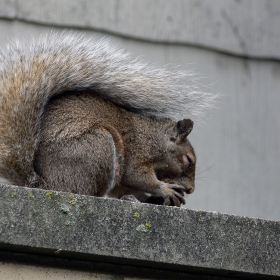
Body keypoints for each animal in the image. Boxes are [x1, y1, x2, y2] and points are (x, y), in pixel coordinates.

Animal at [0, 33, 217, 208]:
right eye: (188, 159)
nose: (190, 189)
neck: (155, 137)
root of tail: (47, 185)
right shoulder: (139, 152)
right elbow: (137, 175)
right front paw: (163, 189)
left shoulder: (125, 180)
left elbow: (129, 186)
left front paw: (158, 197)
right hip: (98, 147)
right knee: (85, 191)